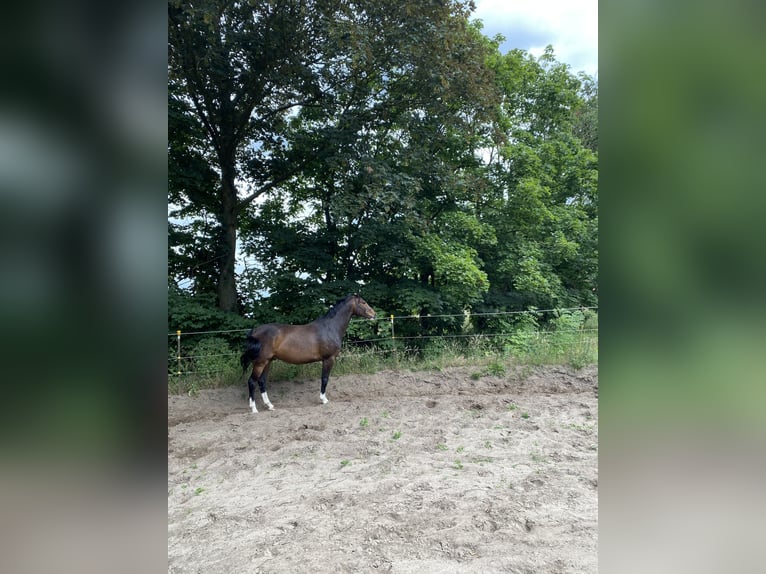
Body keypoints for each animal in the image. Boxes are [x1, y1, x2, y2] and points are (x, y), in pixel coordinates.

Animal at [239, 294, 376, 413]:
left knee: (262, 381)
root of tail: (255, 331)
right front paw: (324, 400)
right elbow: (324, 378)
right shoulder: (329, 359)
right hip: (260, 362)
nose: (373, 314)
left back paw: (270, 406)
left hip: (268, 361)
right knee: (252, 382)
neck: (330, 327)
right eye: (363, 302)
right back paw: (254, 409)